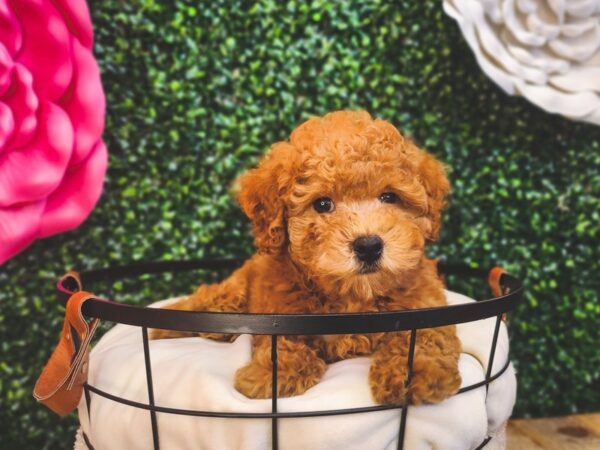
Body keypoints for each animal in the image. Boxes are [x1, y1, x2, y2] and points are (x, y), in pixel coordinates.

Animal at [152, 111, 462, 404]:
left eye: (389, 197)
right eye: (322, 204)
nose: (368, 246)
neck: (354, 296)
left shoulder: (425, 303)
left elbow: (427, 337)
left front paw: (418, 372)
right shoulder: (280, 312)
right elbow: (282, 342)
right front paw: (272, 374)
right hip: (230, 295)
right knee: (201, 302)